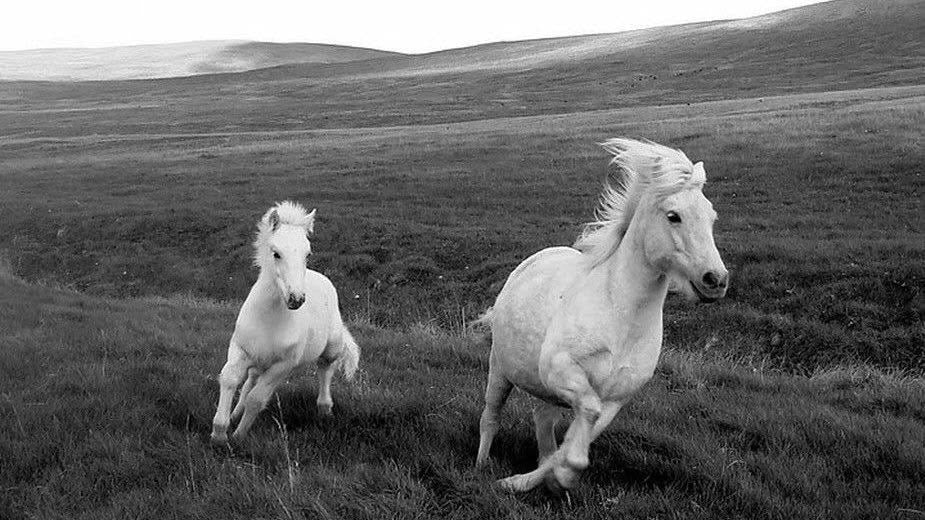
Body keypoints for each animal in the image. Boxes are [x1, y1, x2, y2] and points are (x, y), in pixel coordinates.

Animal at [210, 201, 360, 443]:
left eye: (307, 254)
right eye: (276, 253)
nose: (296, 299)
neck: (269, 319)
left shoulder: (284, 365)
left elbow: (257, 399)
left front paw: (239, 436)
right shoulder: (240, 349)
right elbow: (230, 379)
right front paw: (220, 432)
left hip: (331, 347)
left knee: (325, 369)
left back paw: (325, 409)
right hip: (258, 361)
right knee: (250, 379)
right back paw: (235, 414)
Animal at [474, 138, 728, 492]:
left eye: (711, 217)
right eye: (673, 216)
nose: (716, 280)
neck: (619, 317)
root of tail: (533, 260)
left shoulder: (615, 400)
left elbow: (577, 438)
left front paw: (551, 478)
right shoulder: (562, 371)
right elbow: (584, 421)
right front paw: (535, 479)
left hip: (547, 393)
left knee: (543, 423)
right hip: (500, 369)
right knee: (491, 416)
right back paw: (481, 467)